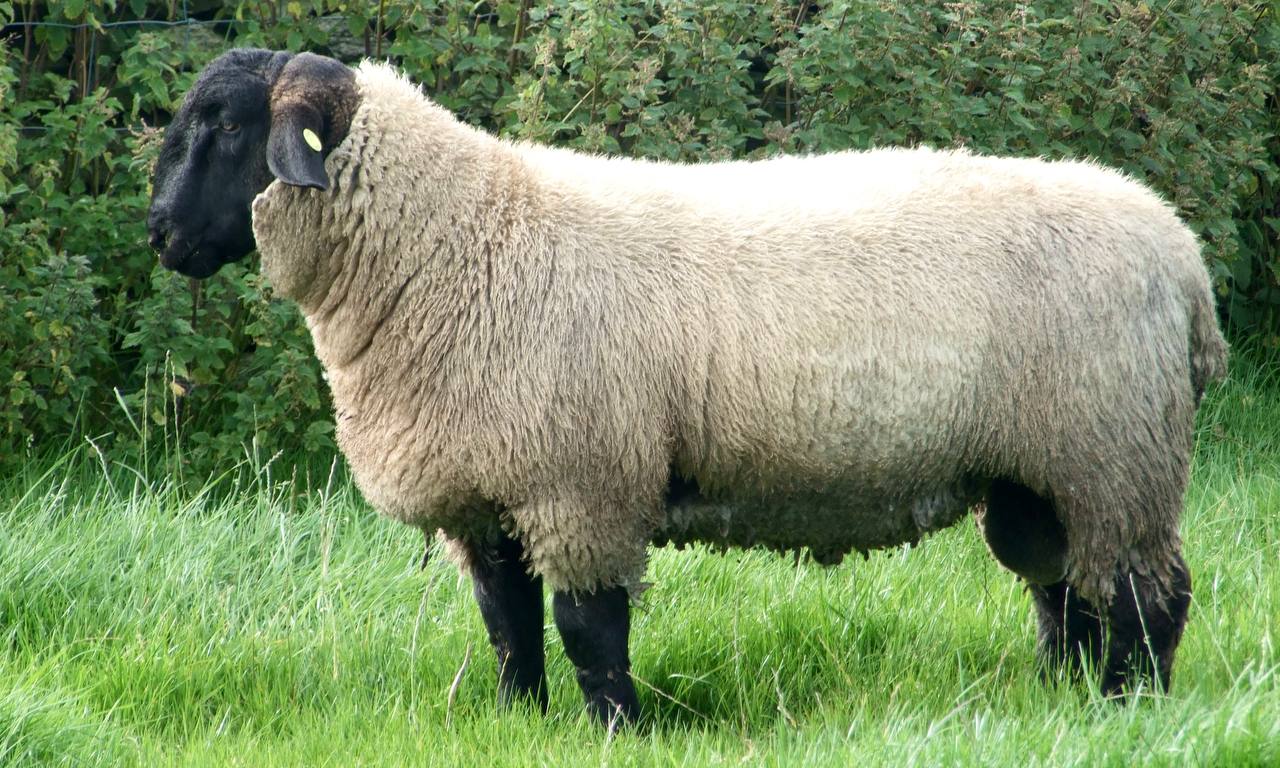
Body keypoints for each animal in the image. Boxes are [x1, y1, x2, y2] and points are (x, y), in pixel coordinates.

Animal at [147, 48, 1228, 725]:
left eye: (227, 126)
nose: (159, 234)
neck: (458, 240)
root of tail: (1179, 254)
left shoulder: (580, 483)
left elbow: (588, 629)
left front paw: (614, 731)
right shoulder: (490, 496)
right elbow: (507, 626)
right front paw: (518, 721)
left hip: (1115, 450)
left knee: (1148, 596)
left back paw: (1132, 709)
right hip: (1041, 470)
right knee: (1066, 589)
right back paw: (1059, 696)